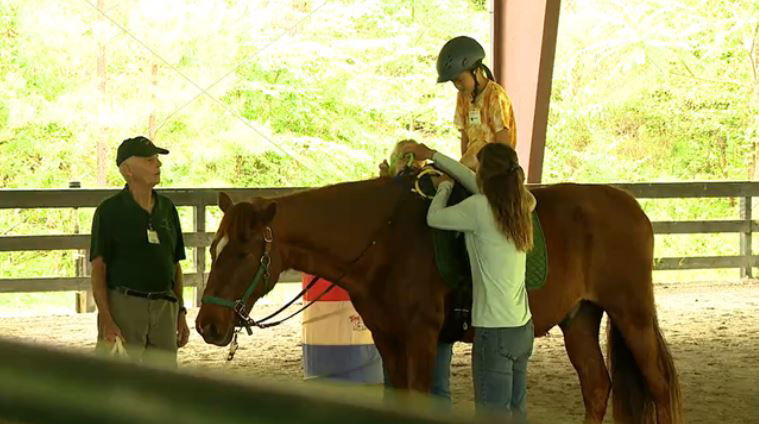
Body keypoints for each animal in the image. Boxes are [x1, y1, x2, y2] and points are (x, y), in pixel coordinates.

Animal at [194, 176, 684, 424]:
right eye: (214, 248)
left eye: (242, 253)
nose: (207, 325)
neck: (384, 239)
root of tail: (630, 205)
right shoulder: (388, 339)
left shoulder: (420, 337)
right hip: (579, 318)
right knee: (597, 386)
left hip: (632, 313)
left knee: (658, 385)